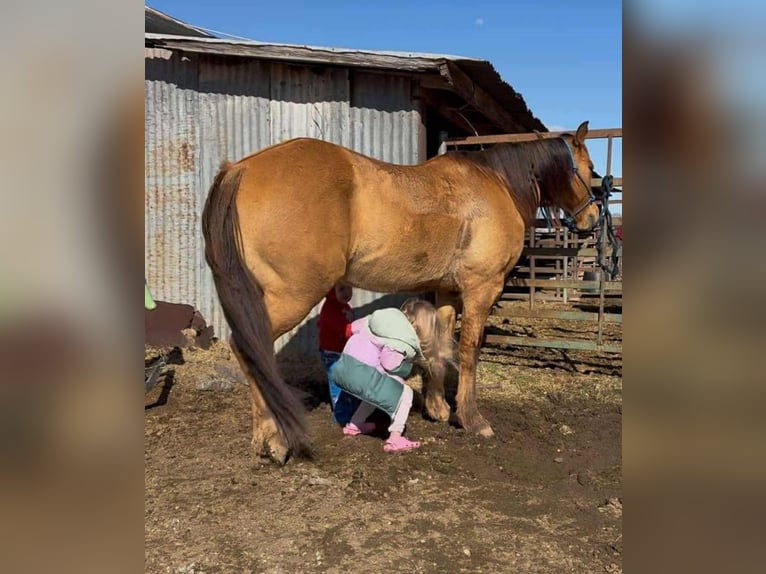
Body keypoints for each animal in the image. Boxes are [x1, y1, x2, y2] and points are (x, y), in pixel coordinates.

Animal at [202, 120, 600, 464]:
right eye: (590, 166)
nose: (593, 219)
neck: (495, 185)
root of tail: (241, 168)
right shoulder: (481, 289)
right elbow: (469, 352)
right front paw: (472, 419)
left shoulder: (445, 292)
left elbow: (440, 346)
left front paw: (438, 409)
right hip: (291, 296)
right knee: (251, 348)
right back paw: (275, 441)